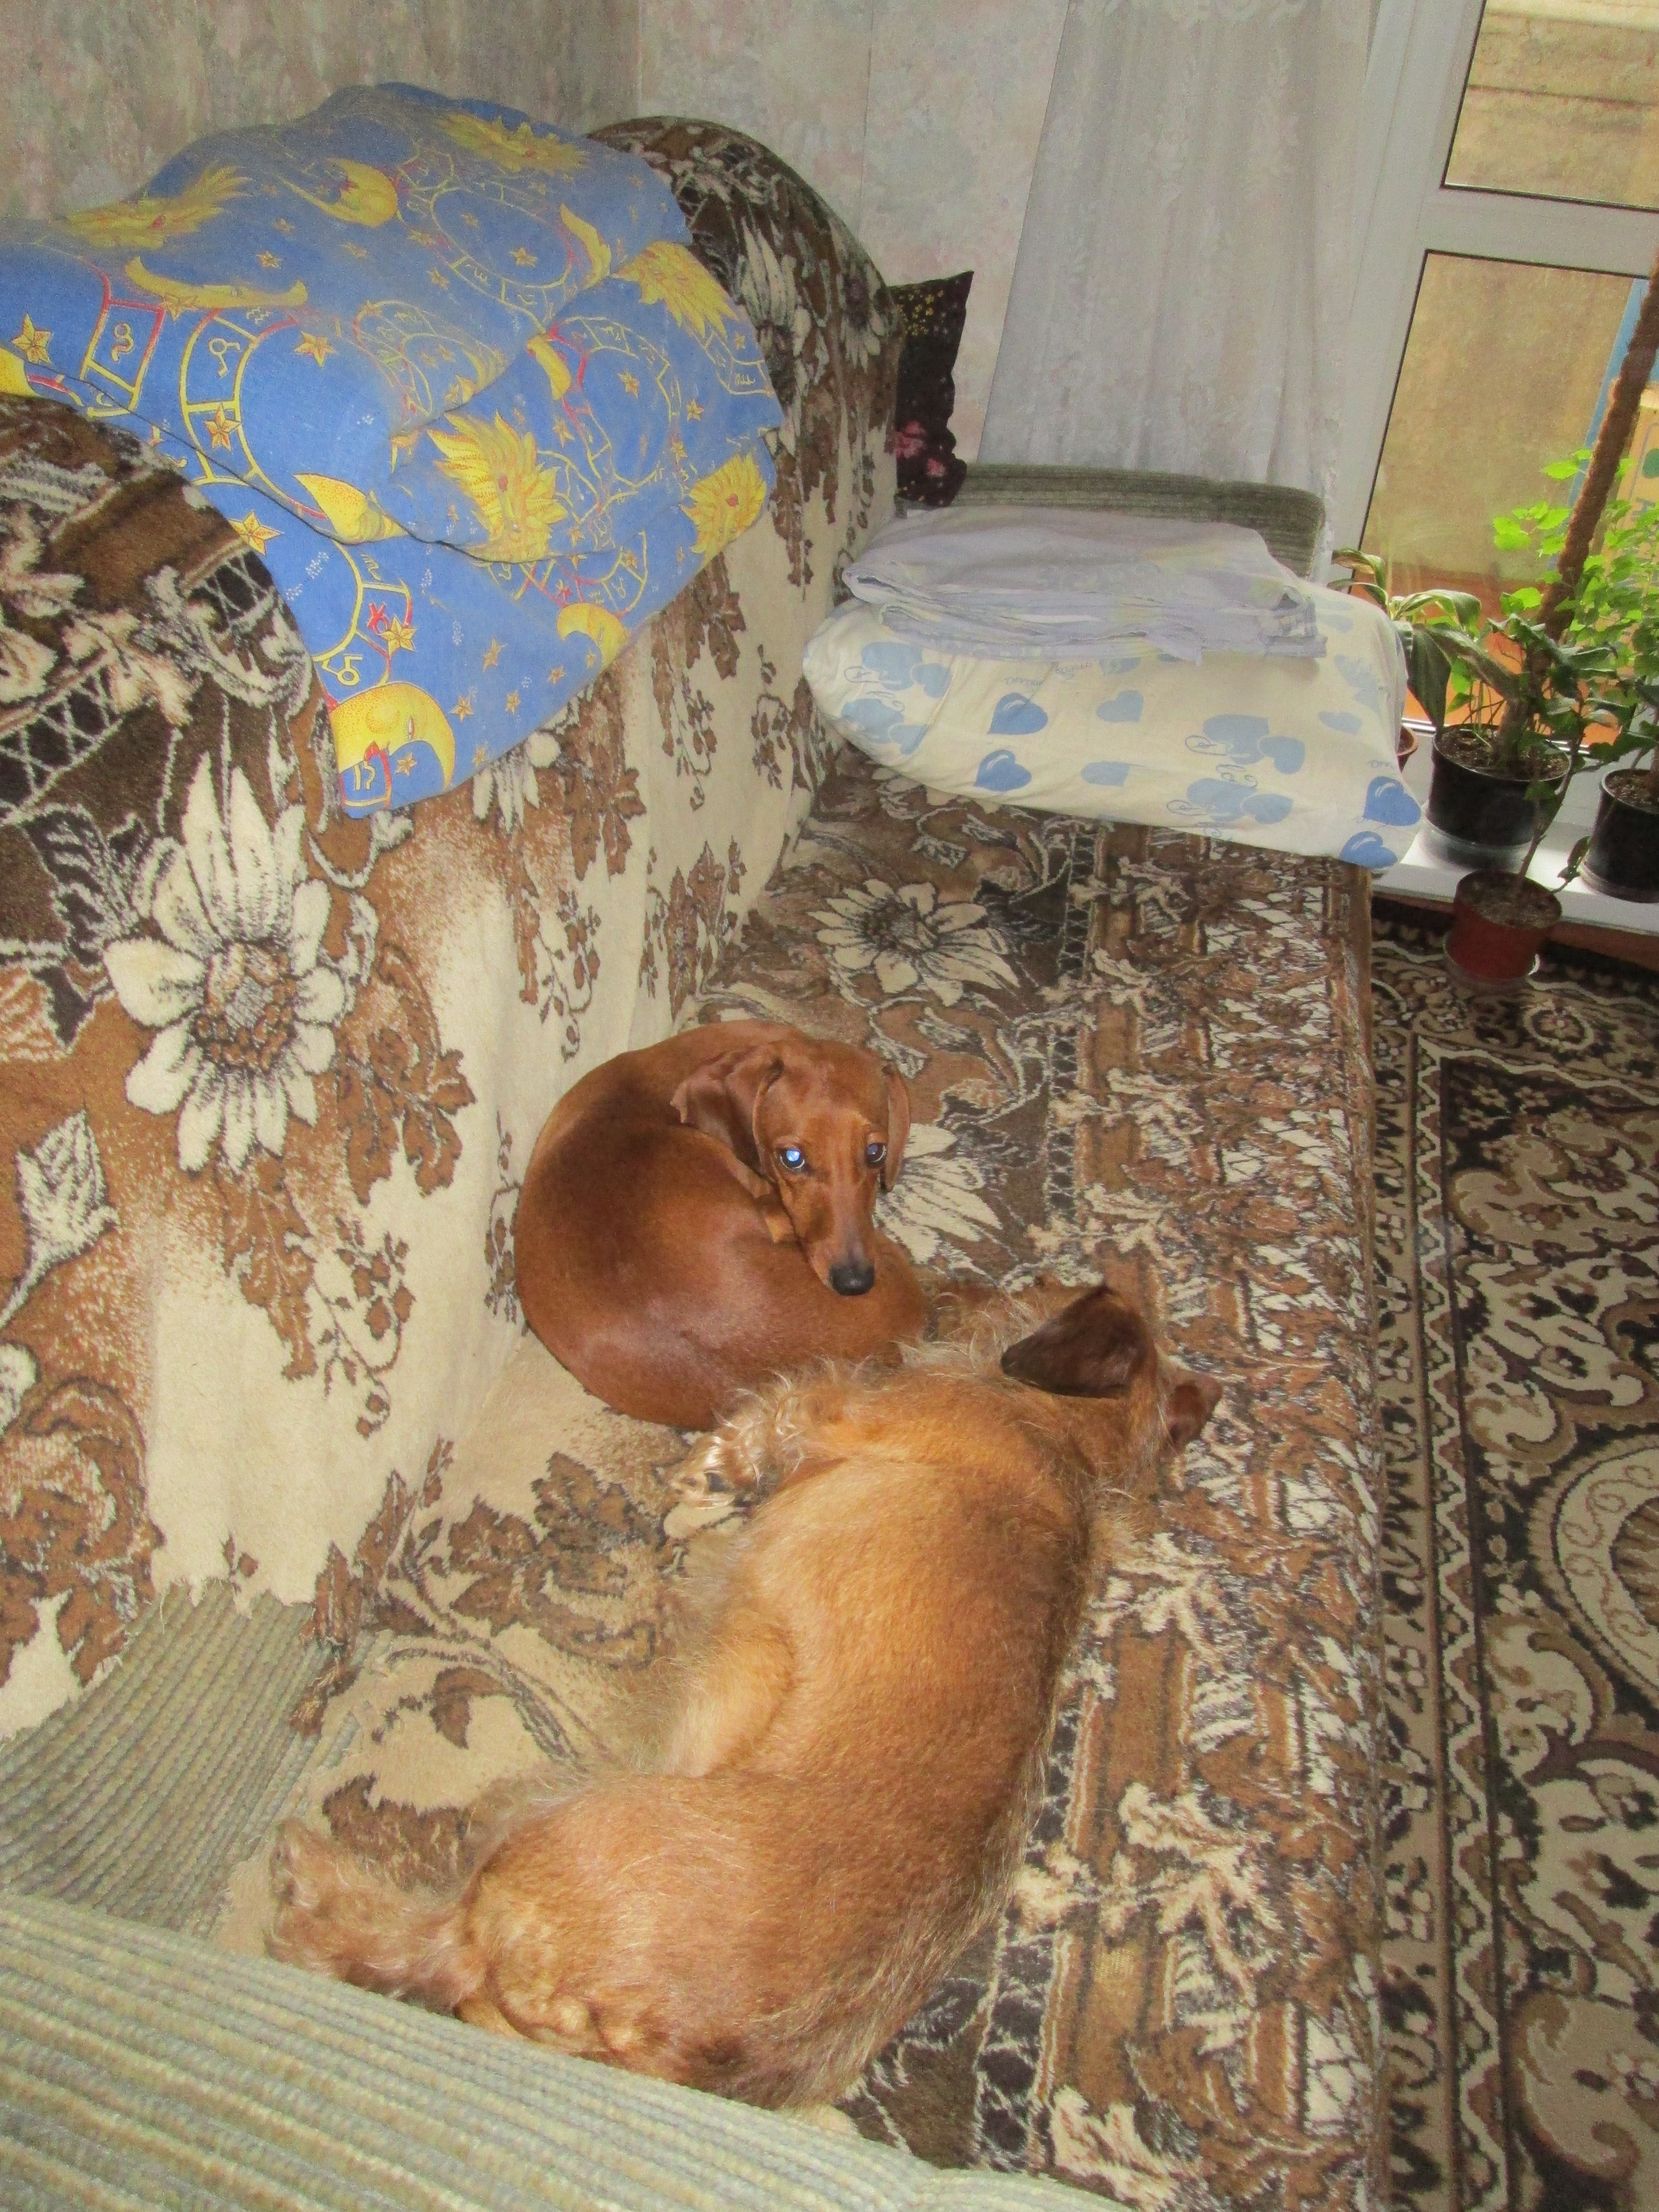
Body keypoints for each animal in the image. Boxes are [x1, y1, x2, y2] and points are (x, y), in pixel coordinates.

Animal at [268, 1281, 1220, 2109]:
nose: (941, 1295)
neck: (1066, 1438)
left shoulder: (834, 1408)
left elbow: (779, 1400)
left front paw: (713, 1470)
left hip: (544, 1829)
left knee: (402, 1944)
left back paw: (310, 1873)